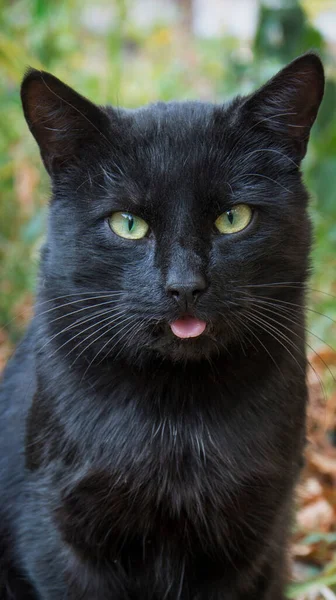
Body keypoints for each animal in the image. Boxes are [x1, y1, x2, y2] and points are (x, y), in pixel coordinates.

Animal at [0, 54, 326, 596]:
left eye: (233, 218)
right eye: (127, 224)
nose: (185, 285)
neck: (176, 420)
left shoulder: (253, 540)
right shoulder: (55, 538)